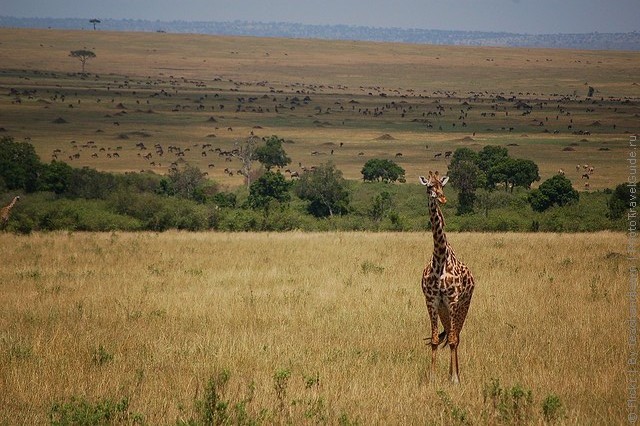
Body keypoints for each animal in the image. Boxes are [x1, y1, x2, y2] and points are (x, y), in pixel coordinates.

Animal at [420, 171, 476, 384]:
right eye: (429, 186)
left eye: (441, 185)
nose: (442, 198)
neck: (440, 257)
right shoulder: (432, 300)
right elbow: (435, 339)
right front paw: (432, 377)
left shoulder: (452, 300)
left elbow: (452, 340)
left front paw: (455, 380)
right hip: (444, 311)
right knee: (452, 335)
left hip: (463, 306)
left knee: (456, 337)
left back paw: (456, 375)